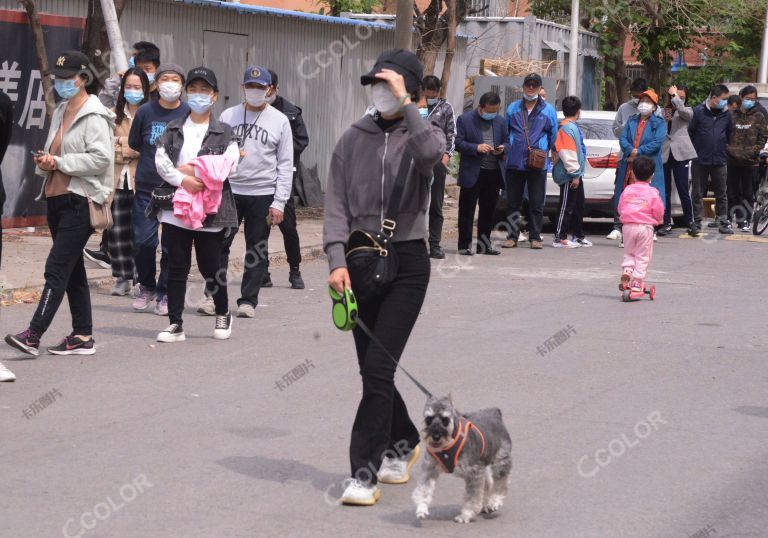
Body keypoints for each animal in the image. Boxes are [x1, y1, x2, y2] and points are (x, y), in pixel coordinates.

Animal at [412, 392, 512, 520]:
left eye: (445, 419)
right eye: (429, 419)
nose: (436, 436)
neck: (447, 445)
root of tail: (495, 412)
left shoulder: (474, 472)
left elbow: (472, 497)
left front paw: (466, 514)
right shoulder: (430, 469)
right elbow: (424, 488)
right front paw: (421, 508)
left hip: (500, 461)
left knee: (500, 482)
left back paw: (495, 501)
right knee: (488, 483)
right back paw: (486, 504)